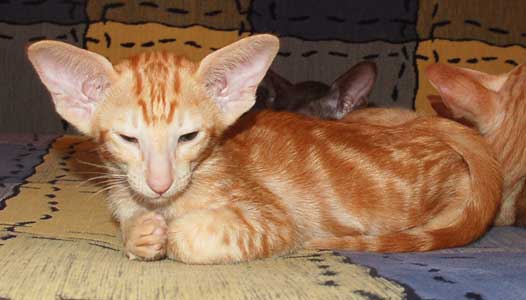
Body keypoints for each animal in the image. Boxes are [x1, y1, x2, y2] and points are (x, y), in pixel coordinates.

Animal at [27, 35, 504, 264]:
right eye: (129, 139)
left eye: (188, 137)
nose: (159, 184)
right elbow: (130, 223)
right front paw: (139, 233)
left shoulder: (272, 221)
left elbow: (196, 236)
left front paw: (168, 233)